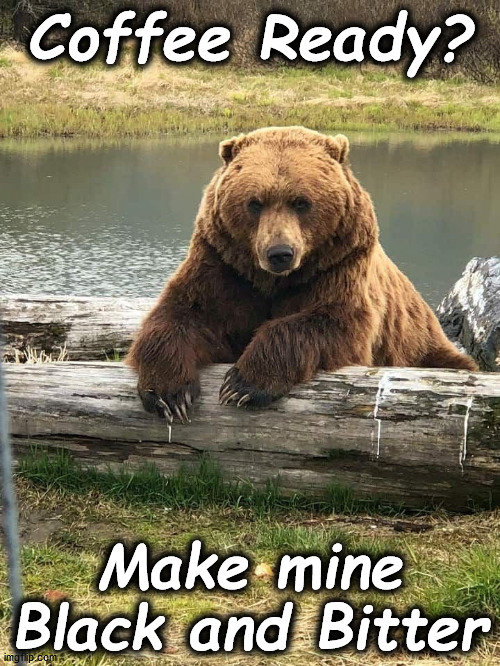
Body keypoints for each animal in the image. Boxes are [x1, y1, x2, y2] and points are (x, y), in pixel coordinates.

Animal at [127, 126, 477, 424]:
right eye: (254, 202)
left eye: (301, 202)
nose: (280, 253)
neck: (272, 280)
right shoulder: (223, 267)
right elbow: (182, 314)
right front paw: (169, 393)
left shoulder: (337, 267)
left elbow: (330, 322)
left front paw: (242, 384)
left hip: (423, 349)